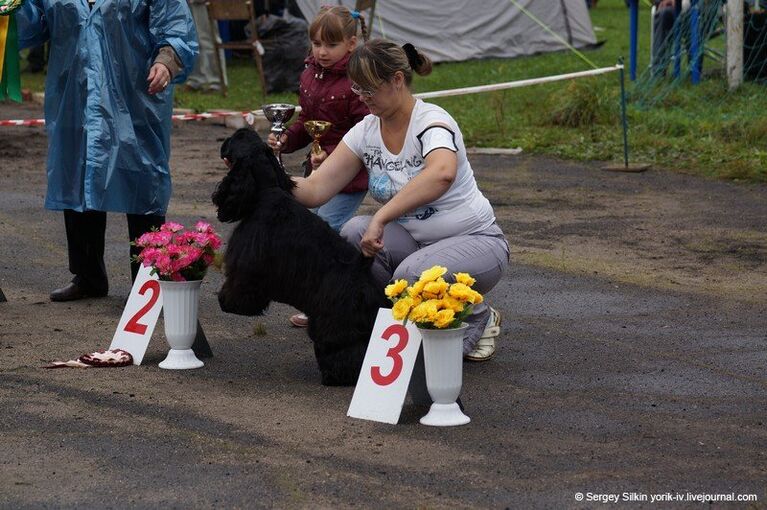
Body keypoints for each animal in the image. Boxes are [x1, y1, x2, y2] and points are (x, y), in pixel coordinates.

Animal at [212, 128, 388, 386]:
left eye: (235, 139)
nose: (224, 141)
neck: (267, 191)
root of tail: (361, 267)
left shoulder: (248, 264)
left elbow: (239, 287)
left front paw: (228, 303)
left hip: (333, 319)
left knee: (342, 347)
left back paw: (336, 376)